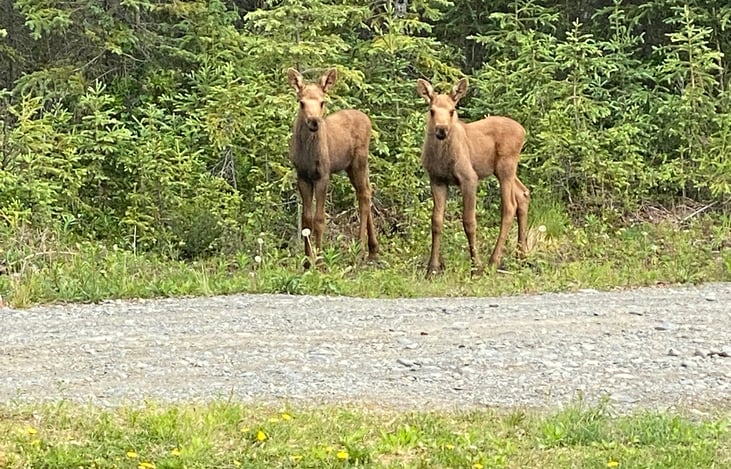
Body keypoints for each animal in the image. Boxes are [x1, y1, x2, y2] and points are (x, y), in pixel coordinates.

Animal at [287, 67, 379, 267]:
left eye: (322, 102)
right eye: (301, 102)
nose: (314, 121)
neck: (308, 154)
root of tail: (367, 119)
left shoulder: (323, 175)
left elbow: (320, 219)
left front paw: (320, 262)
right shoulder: (302, 176)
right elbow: (306, 220)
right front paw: (307, 262)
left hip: (359, 162)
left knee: (364, 195)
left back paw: (360, 248)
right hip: (351, 167)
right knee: (367, 191)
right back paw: (373, 249)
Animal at [416, 77, 530, 278]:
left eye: (452, 110)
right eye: (432, 110)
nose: (441, 130)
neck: (442, 158)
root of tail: (523, 130)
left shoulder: (469, 178)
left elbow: (469, 221)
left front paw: (476, 266)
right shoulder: (437, 180)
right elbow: (436, 221)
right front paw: (432, 268)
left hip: (506, 167)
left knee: (509, 206)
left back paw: (493, 261)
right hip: (504, 170)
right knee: (523, 194)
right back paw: (521, 256)